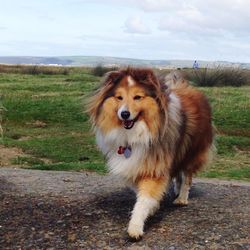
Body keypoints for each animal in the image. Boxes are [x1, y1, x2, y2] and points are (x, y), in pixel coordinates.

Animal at [87, 67, 213, 239]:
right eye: (119, 97)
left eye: (138, 97)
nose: (124, 114)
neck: (135, 132)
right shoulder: (134, 165)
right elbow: (140, 192)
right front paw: (152, 208)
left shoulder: (155, 165)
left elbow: (144, 198)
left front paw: (135, 227)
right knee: (178, 174)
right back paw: (176, 189)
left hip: (191, 152)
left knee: (187, 176)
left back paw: (181, 198)